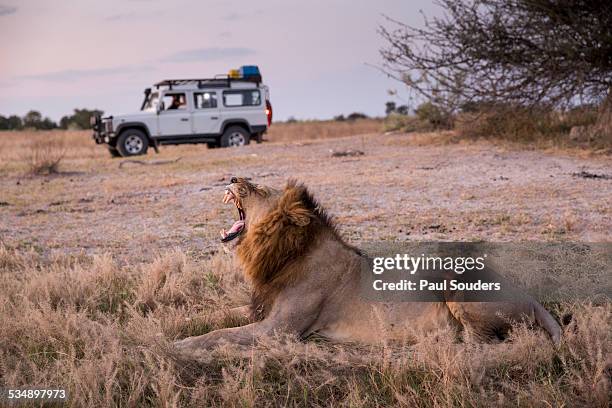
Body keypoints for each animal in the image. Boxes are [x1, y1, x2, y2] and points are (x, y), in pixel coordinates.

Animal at [175, 177, 560, 356]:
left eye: (257, 188)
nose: (232, 177)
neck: (283, 253)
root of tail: (530, 296)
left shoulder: (278, 330)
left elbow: (221, 334)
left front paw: (182, 344)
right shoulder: (260, 308)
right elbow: (215, 317)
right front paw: (177, 328)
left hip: (458, 284)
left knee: (479, 343)